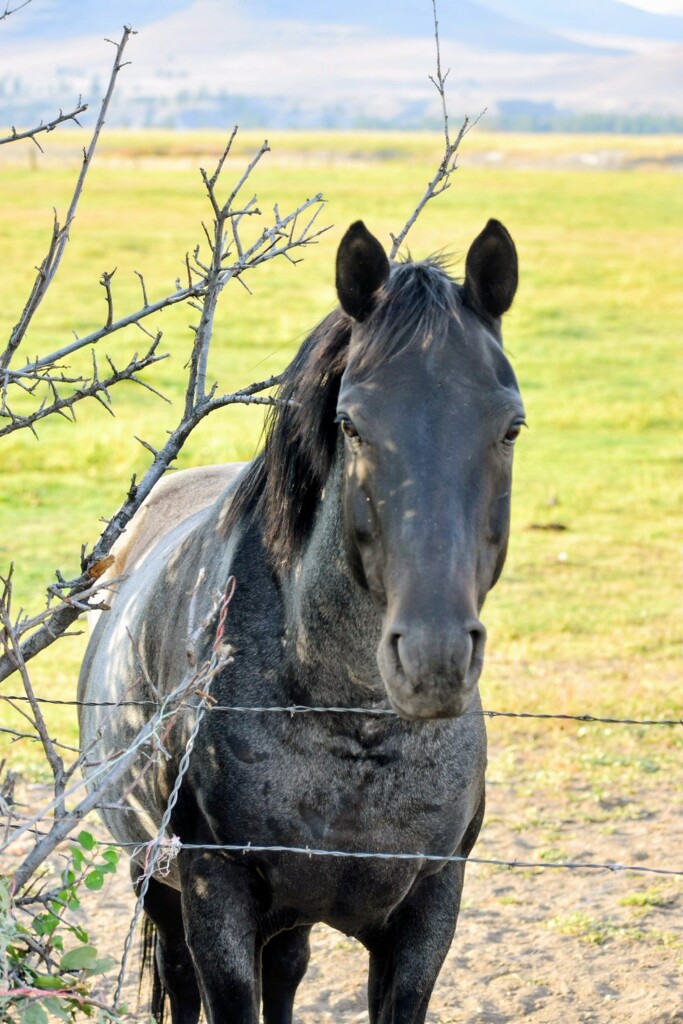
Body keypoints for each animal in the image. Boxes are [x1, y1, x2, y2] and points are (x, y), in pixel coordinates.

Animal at [78, 217, 523, 1024]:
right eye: (351, 424)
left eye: (510, 427)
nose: (434, 659)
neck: (355, 727)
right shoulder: (214, 899)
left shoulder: (428, 913)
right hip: (151, 878)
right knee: (179, 980)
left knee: (286, 971)